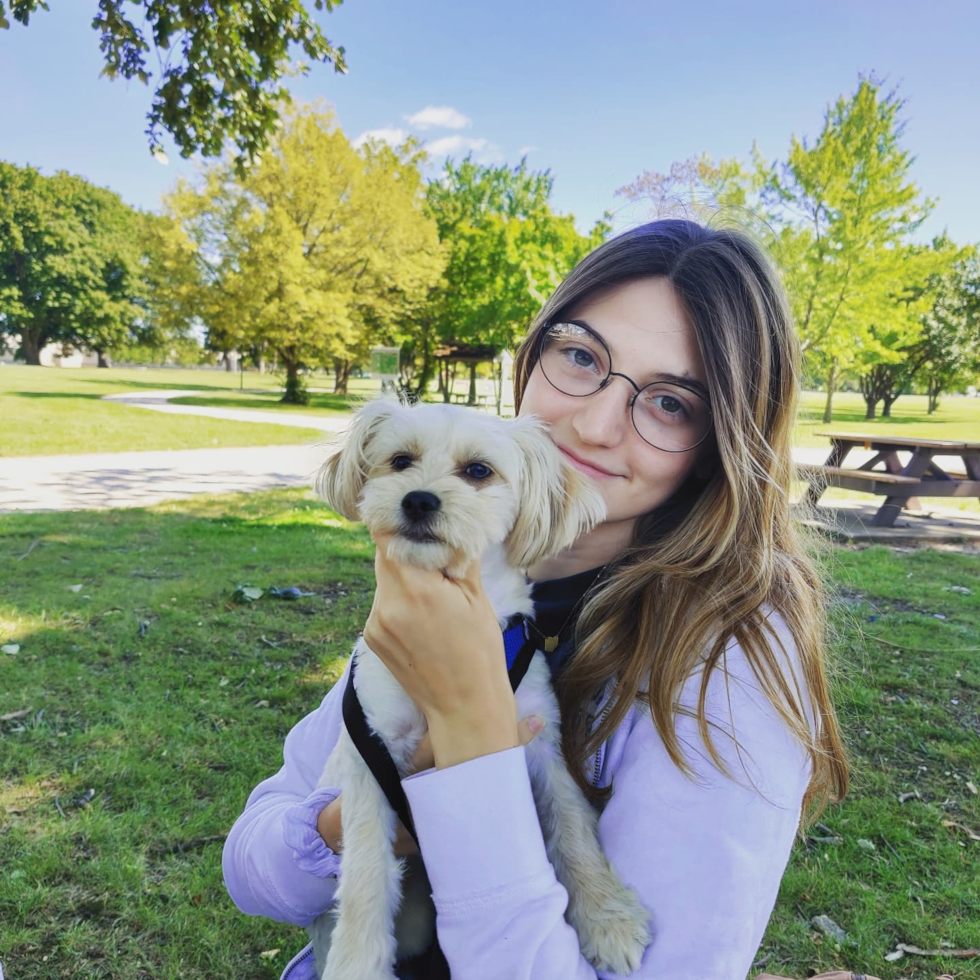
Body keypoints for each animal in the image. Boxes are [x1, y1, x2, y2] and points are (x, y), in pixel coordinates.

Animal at [312, 400, 652, 980]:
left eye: (478, 471)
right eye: (399, 460)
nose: (418, 499)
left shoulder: (538, 738)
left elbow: (572, 825)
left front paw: (608, 917)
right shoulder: (372, 751)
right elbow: (365, 873)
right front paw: (355, 963)